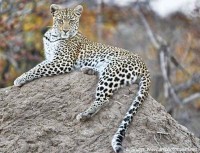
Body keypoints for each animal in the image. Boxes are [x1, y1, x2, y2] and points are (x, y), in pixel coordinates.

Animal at [14, 3, 151, 153]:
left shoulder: (62, 62)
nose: (66, 31)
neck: (54, 35)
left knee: (104, 99)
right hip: (106, 68)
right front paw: (21, 77)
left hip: (112, 71)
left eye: (71, 21)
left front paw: (19, 79)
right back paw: (87, 69)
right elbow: (36, 67)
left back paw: (85, 114)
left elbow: (38, 70)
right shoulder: (51, 59)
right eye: (60, 21)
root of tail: (144, 65)